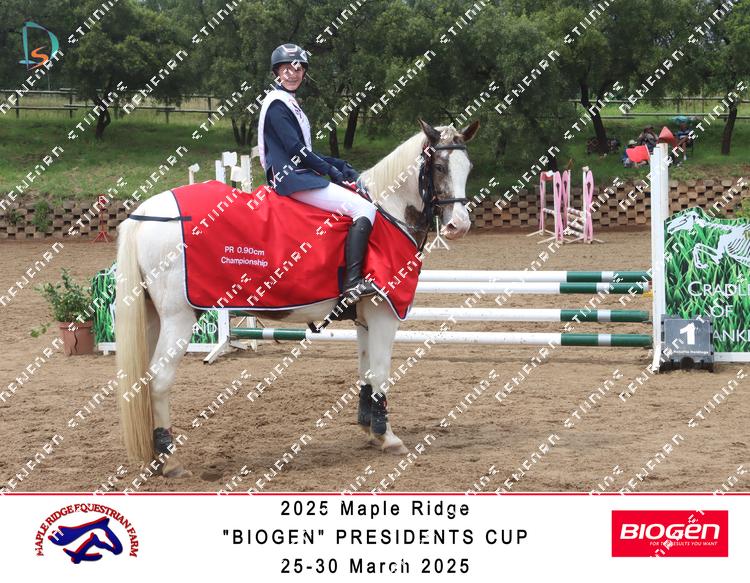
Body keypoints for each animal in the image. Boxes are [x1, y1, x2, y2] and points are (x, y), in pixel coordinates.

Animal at [115, 118, 480, 477]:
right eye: (439, 165)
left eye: (468, 167)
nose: (459, 226)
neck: (387, 213)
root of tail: (146, 213)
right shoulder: (384, 313)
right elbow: (380, 372)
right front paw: (387, 437)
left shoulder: (364, 317)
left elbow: (365, 371)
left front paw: (369, 429)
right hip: (178, 318)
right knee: (159, 380)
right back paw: (170, 460)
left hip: (152, 316)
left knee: (144, 380)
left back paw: (155, 456)